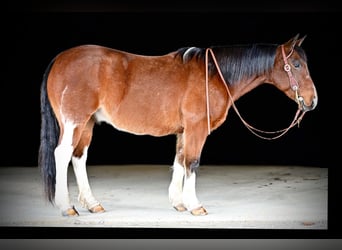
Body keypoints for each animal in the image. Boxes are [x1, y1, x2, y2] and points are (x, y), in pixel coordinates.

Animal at [39, 34, 318, 216]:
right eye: (296, 64)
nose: (312, 101)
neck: (213, 74)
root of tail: (59, 59)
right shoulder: (196, 128)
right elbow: (192, 162)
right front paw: (195, 205)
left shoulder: (184, 131)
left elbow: (180, 161)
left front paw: (178, 202)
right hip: (74, 122)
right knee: (62, 155)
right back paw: (67, 207)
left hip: (86, 124)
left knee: (79, 158)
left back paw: (92, 203)